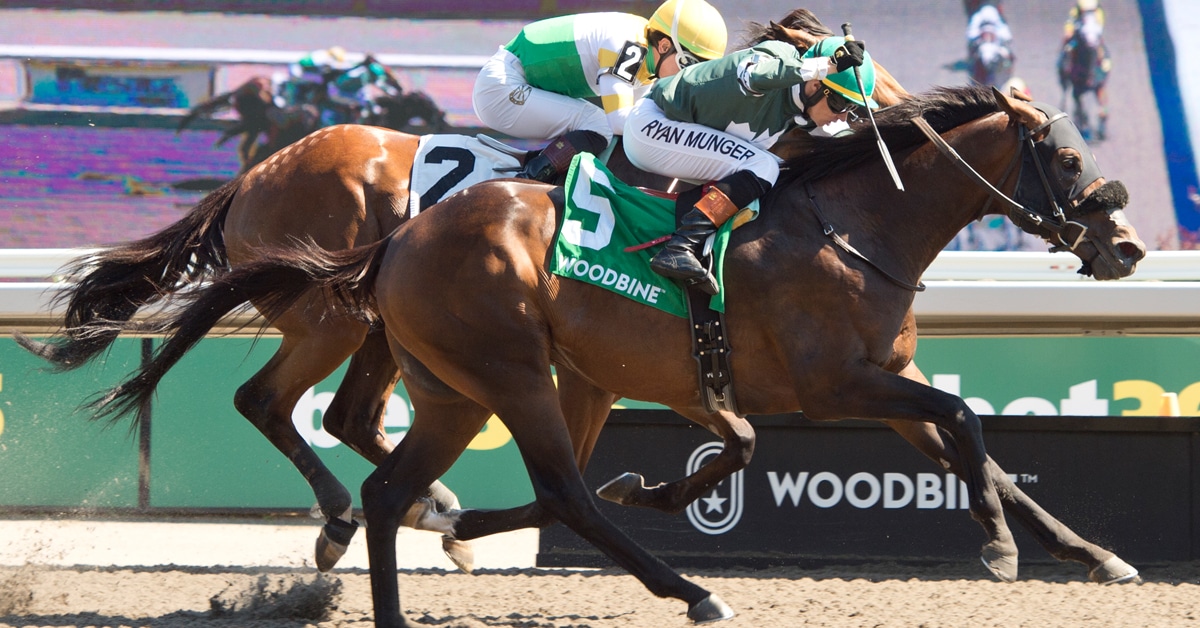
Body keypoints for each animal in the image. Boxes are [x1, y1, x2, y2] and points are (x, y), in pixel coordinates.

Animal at [81, 85, 1145, 625]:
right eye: (1069, 157)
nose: (1128, 247)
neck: (849, 222)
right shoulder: (836, 383)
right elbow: (966, 423)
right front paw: (1001, 551)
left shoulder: (886, 383)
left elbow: (982, 453)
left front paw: (1093, 555)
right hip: (456, 356)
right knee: (537, 483)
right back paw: (684, 589)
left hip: (473, 378)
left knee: (391, 457)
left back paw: (430, 530)